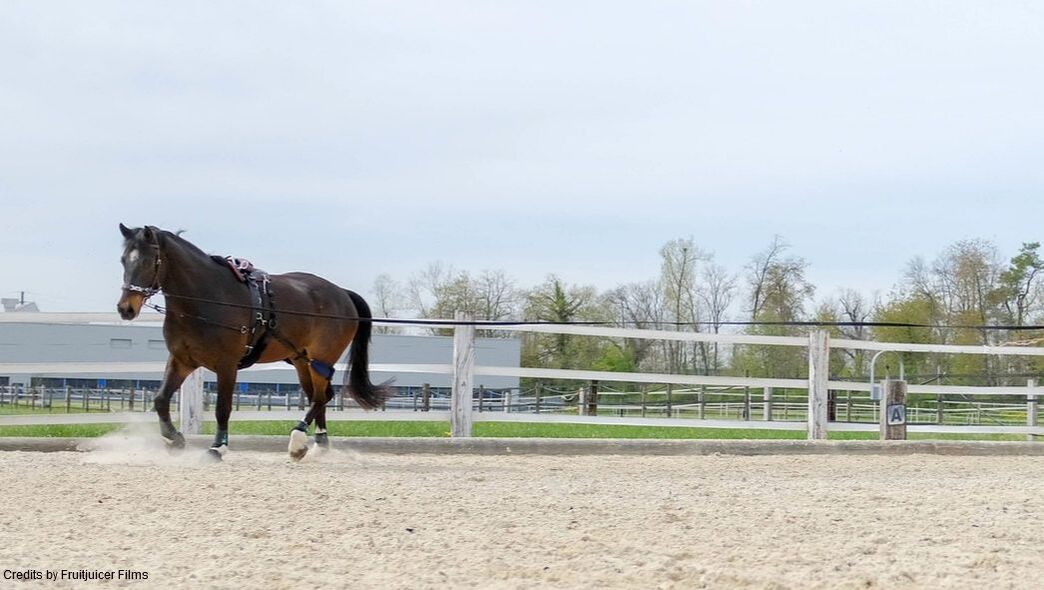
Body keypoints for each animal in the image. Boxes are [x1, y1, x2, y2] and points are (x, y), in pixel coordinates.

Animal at [116, 224, 392, 461]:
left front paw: (218, 447)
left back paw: (297, 440)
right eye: (123, 260)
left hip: (321, 359)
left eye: (146, 260)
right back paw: (318, 444)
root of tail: (342, 294)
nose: (125, 308)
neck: (207, 299)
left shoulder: (227, 365)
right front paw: (174, 440)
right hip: (301, 361)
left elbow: (223, 408)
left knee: (319, 397)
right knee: (321, 395)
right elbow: (161, 400)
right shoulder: (182, 360)